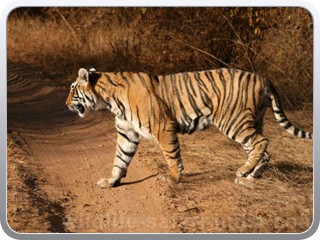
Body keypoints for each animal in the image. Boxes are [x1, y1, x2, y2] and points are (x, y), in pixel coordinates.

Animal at [65, 67, 312, 188]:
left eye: (73, 89)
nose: (66, 104)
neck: (108, 99)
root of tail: (263, 78)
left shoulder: (163, 127)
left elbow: (172, 156)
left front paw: (173, 179)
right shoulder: (128, 134)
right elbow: (120, 159)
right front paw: (111, 182)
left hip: (234, 121)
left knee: (262, 142)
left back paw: (243, 171)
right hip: (252, 121)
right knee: (263, 151)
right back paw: (249, 178)